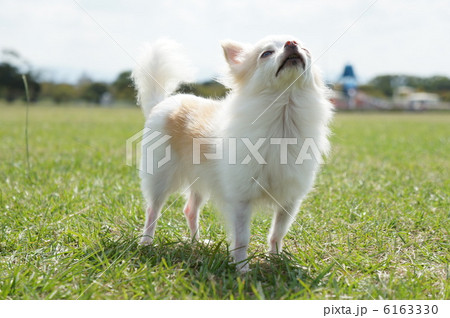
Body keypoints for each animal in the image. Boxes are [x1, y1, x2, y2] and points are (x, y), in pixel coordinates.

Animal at [132, 35, 332, 274]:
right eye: (266, 54)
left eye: (305, 49)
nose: (291, 44)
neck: (283, 116)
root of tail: (162, 102)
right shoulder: (240, 199)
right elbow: (241, 237)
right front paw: (241, 268)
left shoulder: (289, 200)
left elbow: (278, 232)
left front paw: (276, 259)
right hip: (161, 178)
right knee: (153, 210)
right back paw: (146, 242)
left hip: (200, 181)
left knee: (190, 210)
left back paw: (196, 243)